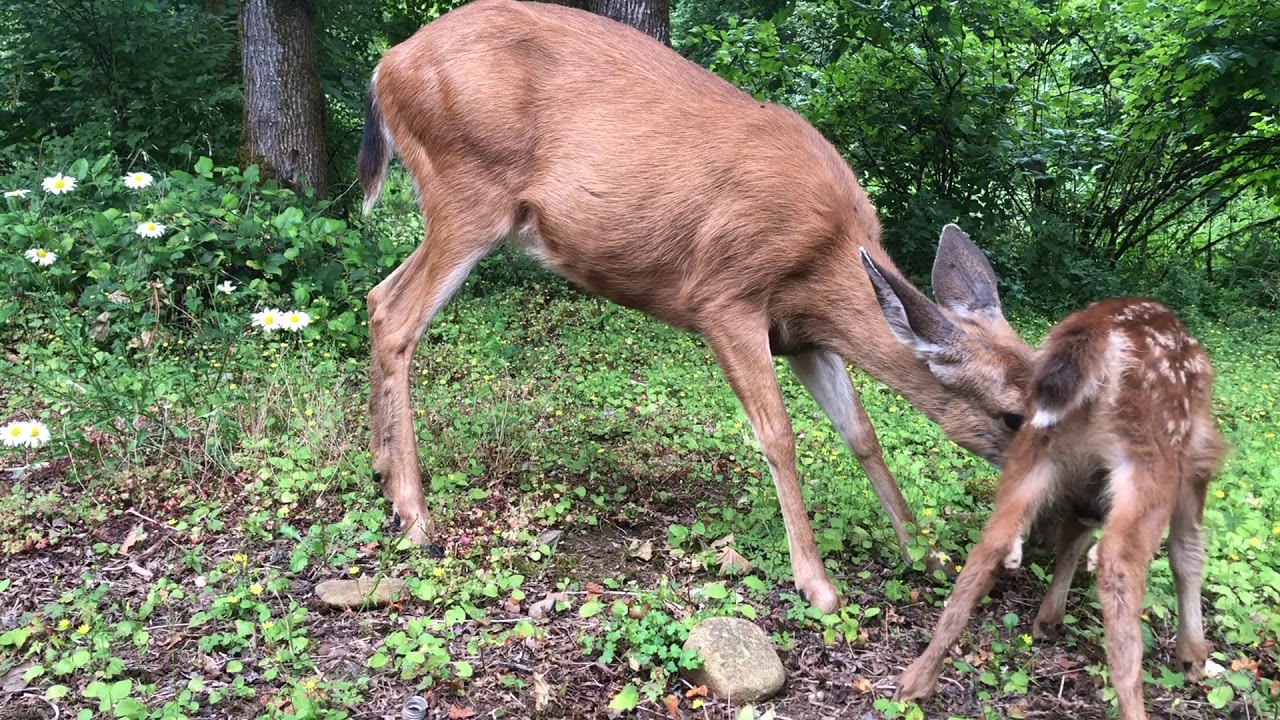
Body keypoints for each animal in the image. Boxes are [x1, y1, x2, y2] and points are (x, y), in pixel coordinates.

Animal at [356, 0, 1035, 614]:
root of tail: (387, 64)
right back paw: (416, 516)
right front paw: (817, 584)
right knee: (398, 318)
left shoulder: (804, 333)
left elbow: (860, 433)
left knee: (376, 295)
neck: (828, 256)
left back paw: (383, 473)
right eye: (1011, 416)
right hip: (467, 191)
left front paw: (926, 552)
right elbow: (779, 435)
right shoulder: (726, 298)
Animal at [893, 297, 1228, 720]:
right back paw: (1134, 704)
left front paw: (1048, 620)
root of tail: (1097, 334)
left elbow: (1073, 539)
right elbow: (1188, 553)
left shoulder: (1085, 488)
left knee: (992, 543)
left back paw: (915, 680)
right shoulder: (1197, 464)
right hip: (1153, 456)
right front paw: (1194, 657)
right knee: (1119, 562)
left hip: (1035, 447)